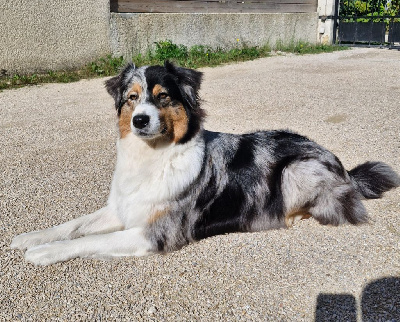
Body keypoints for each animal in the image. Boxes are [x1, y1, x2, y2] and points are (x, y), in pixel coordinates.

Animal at [10, 61, 400, 266]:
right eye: (132, 98)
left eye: (162, 97)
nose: (139, 120)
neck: (154, 156)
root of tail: (342, 165)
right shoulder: (122, 208)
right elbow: (75, 225)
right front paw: (32, 237)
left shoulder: (157, 233)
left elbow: (89, 241)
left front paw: (45, 252)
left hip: (296, 169)